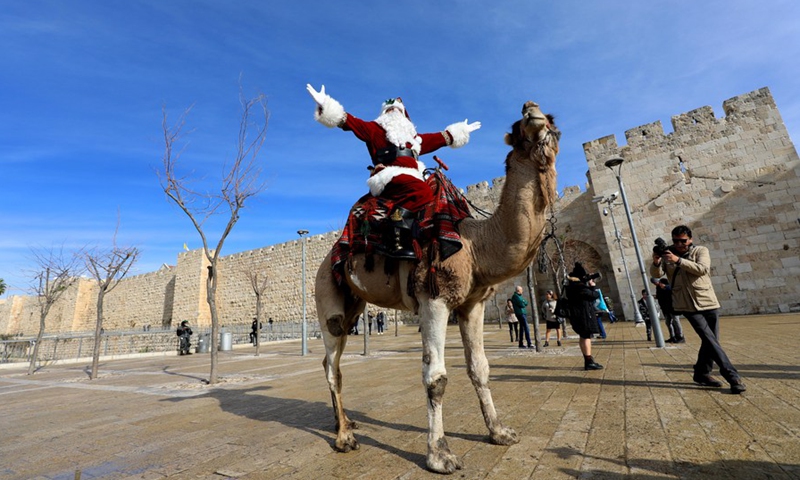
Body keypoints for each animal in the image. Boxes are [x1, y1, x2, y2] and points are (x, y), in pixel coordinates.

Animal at [314, 100, 564, 472]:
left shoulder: (472, 304)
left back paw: (343, 423)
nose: (531, 109)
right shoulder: (434, 300)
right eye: (517, 127)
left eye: (551, 120)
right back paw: (345, 438)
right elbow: (437, 378)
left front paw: (500, 432)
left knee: (330, 358)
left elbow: (480, 368)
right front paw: (440, 454)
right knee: (333, 365)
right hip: (326, 294)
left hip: (354, 306)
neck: (475, 245)